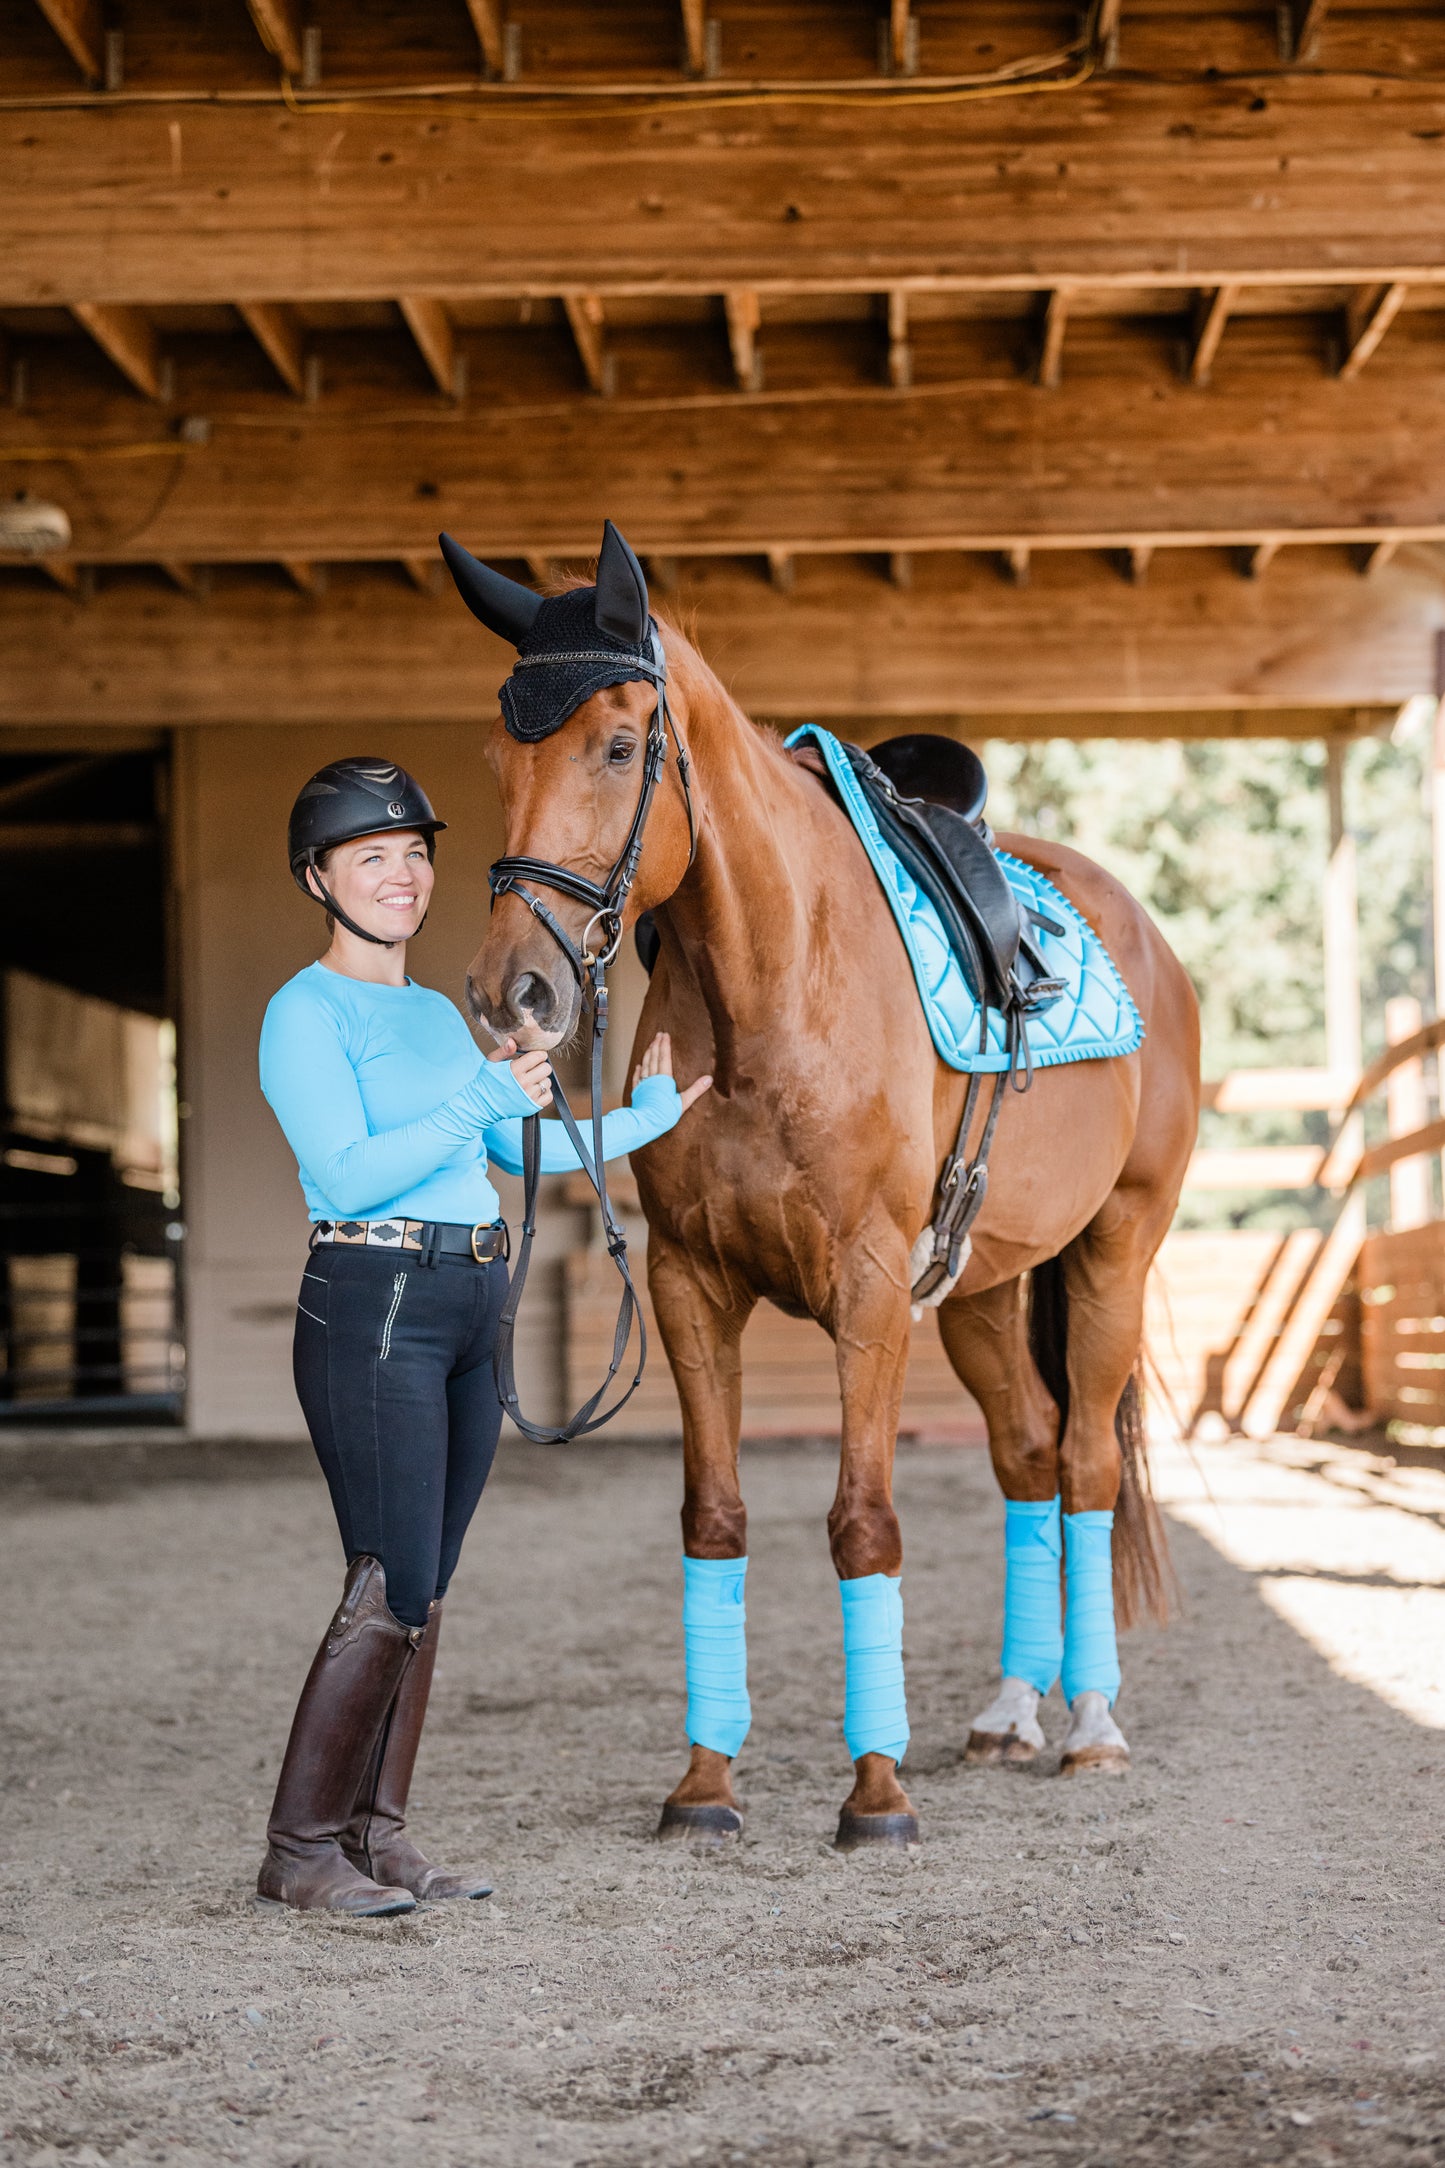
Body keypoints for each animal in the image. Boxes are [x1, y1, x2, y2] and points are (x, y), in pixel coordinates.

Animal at [463, 589, 1195, 1847]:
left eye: (619, 745)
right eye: (498, 756)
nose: (514, 992)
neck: (773, 977)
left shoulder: (866, 1288)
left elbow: (864, 1522)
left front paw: (876, 1793)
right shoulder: (690, 1284)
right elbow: (712, 1517)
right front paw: (704, 1784)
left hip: (1114, 1251)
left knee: (1087, 1463)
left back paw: (1090, 1724)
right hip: (981, 1287)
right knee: (1027, 1455)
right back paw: (1009, 1711)